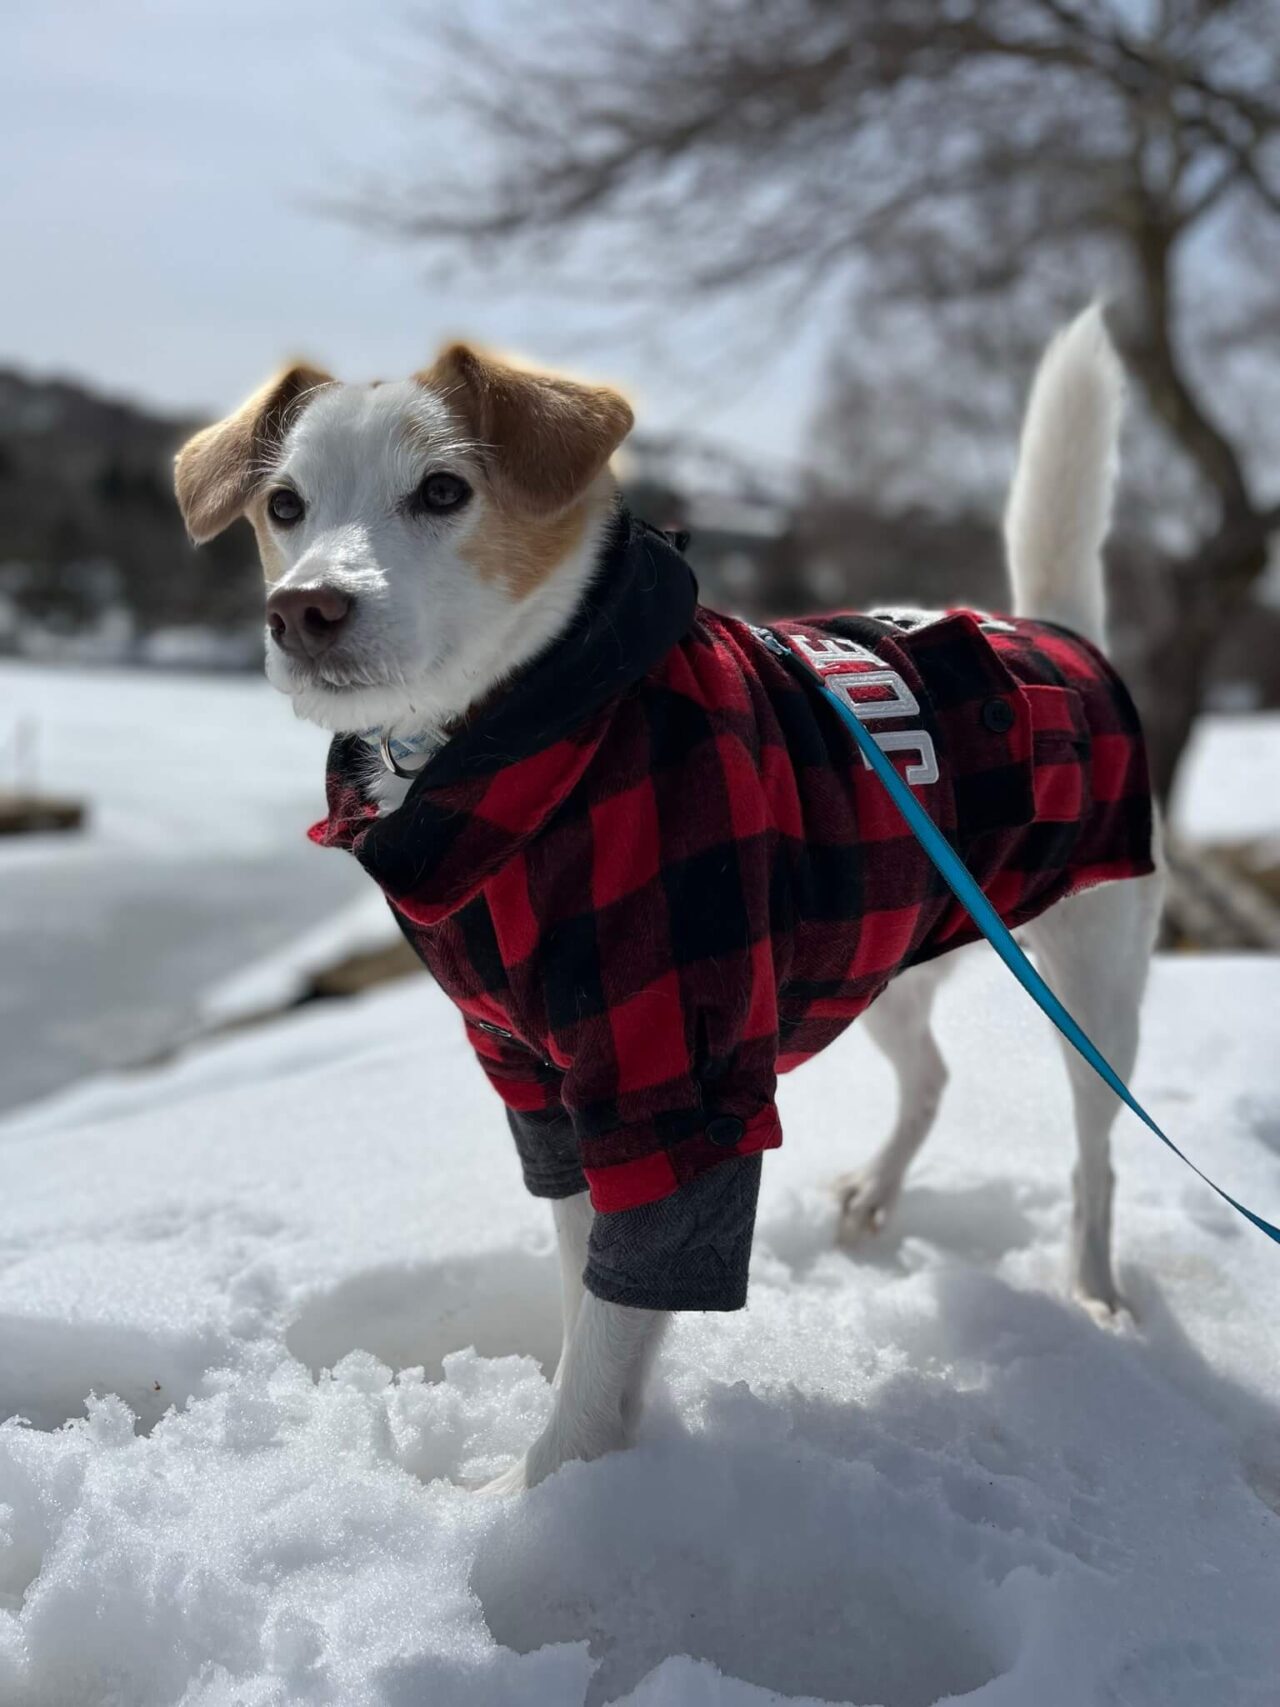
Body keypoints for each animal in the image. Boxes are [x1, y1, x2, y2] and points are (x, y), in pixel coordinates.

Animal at [175, 310, 1167, 1495]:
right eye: (285, 506)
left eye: (444, 490)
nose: (304, 609)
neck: (533, 736)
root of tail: (1048, 630)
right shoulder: (539, 1081)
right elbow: (588, 1289)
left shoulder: (674, 1085)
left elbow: (613, 1323)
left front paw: (541, 1492)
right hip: (881, 948)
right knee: (929, 1077)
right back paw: (879, 1194)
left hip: (1094, 981)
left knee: (1096, 1155)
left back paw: (1096, 1291)